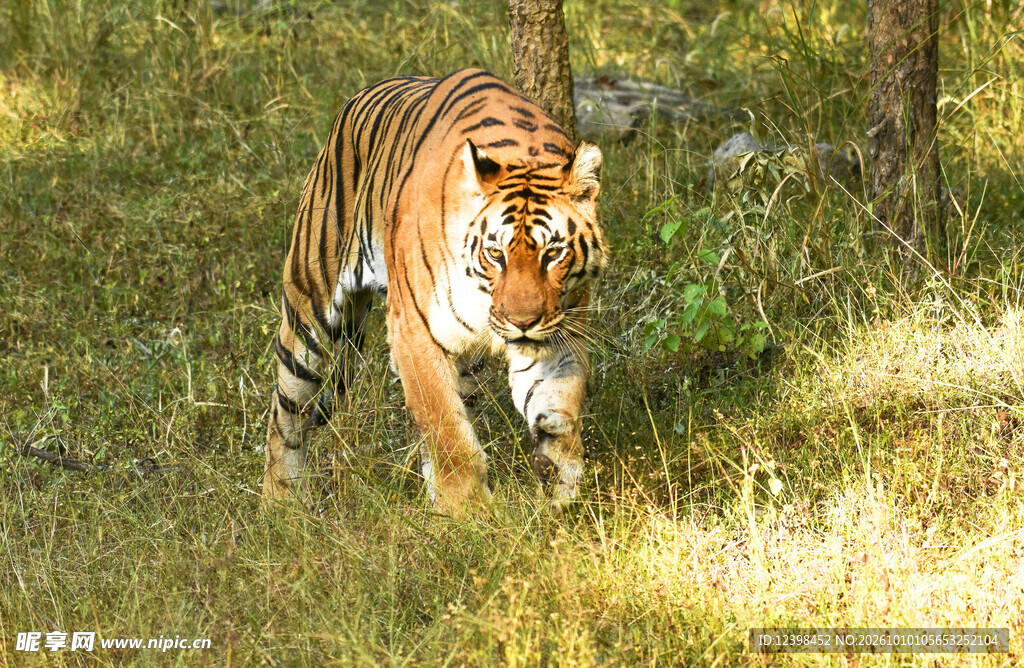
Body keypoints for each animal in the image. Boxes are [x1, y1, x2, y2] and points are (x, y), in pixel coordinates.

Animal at [262, 68, 607, 515]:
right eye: (496, 254)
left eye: (553, 253)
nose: (522, 322)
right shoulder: (414, 332)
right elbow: (445, 429)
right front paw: (467, 512)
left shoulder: (557, 335)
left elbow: (559, 402)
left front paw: (559, 485)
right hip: (311, 317)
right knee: (285, 413)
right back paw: (279, 502)